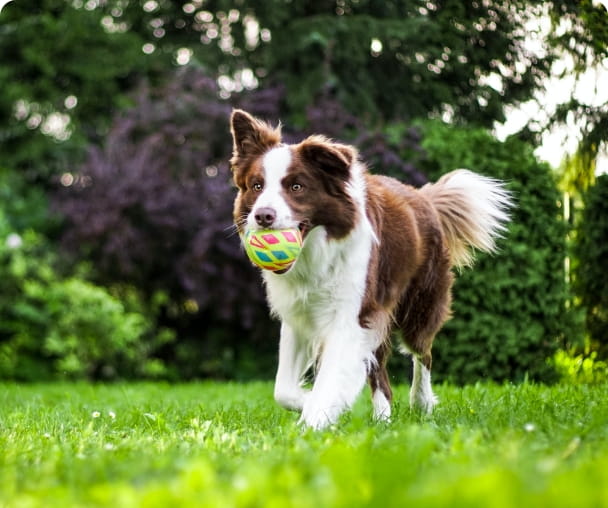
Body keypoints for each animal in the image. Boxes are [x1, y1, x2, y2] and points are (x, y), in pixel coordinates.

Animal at [230, 108, 510, 428]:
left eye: (296, 187)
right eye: (257, 186)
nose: (263, 216)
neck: (316, 253)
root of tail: (424, 197)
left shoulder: (352, 315)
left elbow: (331, 377)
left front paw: (315, 420)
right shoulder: (299, 315)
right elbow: (283, 390)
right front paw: (311, 404)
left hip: (419, 304)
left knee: (422, 353)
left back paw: (421, 402)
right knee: (380, 373)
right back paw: (383, 419)